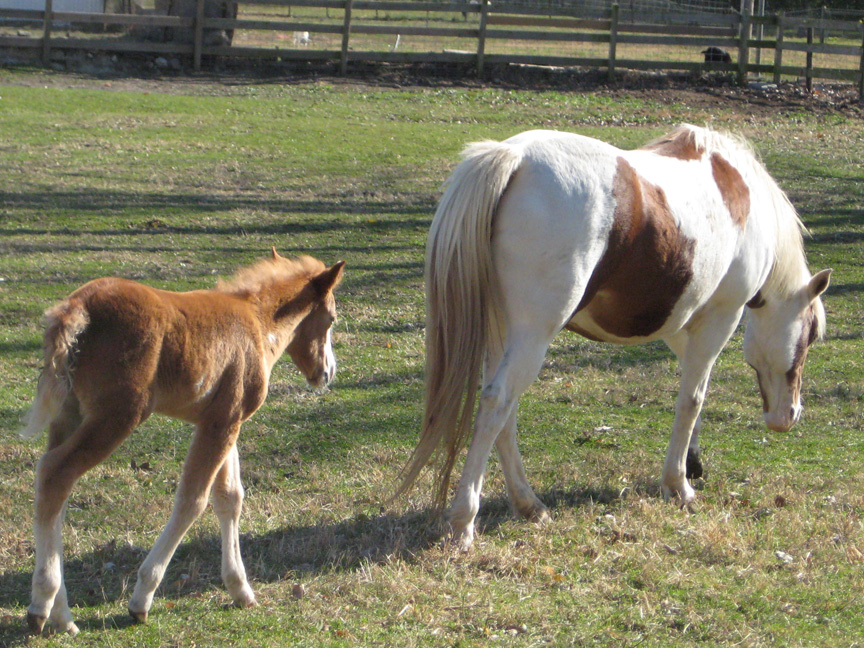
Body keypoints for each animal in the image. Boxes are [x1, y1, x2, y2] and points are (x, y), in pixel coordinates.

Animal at [20, 249, 345, 634]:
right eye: (331, 319)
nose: (327, 373)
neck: (257, 321)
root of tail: (77, 306)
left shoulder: (222, 418)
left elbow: (230, 497)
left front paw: (241, 590)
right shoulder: (223, 422)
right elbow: (193, 501)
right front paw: (141, 599)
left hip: (70, 414)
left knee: (55, 492)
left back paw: (62, 616)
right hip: (117, 416)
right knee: (55, 472)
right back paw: (42, 604)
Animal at [398, 124, 830, 551]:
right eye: (810, 335)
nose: (789, 415)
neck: (739, 190)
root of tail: (514, 156)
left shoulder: (681, 324)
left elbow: (695, 393)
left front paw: (691, 463)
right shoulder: (719, 318)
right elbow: (691, 400)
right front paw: (678, 485)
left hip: (504, 334)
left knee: (504, 413)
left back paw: (528, 504)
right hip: (532, 336)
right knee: (497, 402)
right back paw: (464, 521)